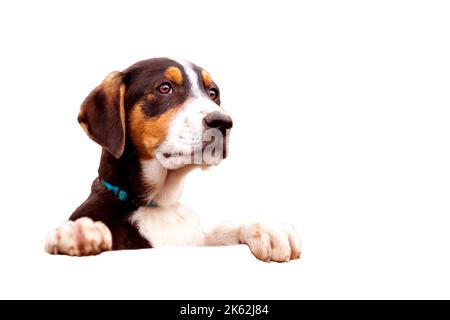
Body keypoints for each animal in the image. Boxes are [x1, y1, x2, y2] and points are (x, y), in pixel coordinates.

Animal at [44, 57, 302, 262]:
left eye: (213, 93)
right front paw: (79, 232)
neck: (160, 205)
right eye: (165, 88)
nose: (223, 122)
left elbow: (219, 231)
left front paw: (266, 229)